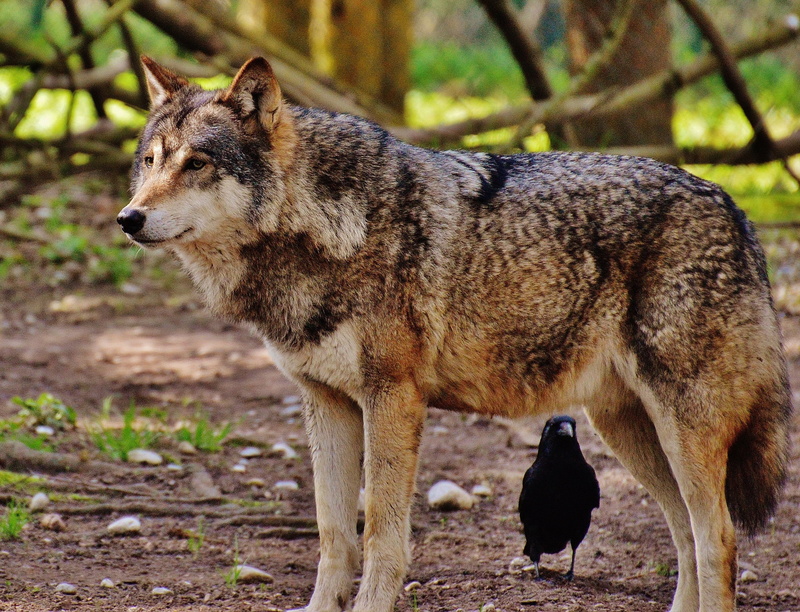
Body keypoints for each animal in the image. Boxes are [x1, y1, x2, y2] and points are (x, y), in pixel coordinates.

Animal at [117, 56, 791, 612]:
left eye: (196, 164)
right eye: (150, 162)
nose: (128, 218)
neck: (324, 227)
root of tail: (737, 210)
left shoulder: (392, 399)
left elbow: (381, 531)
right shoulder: (326, 403)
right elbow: (334, 534)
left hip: (680, 430)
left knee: (719, 537)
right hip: (627, 430)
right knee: (686, 535)